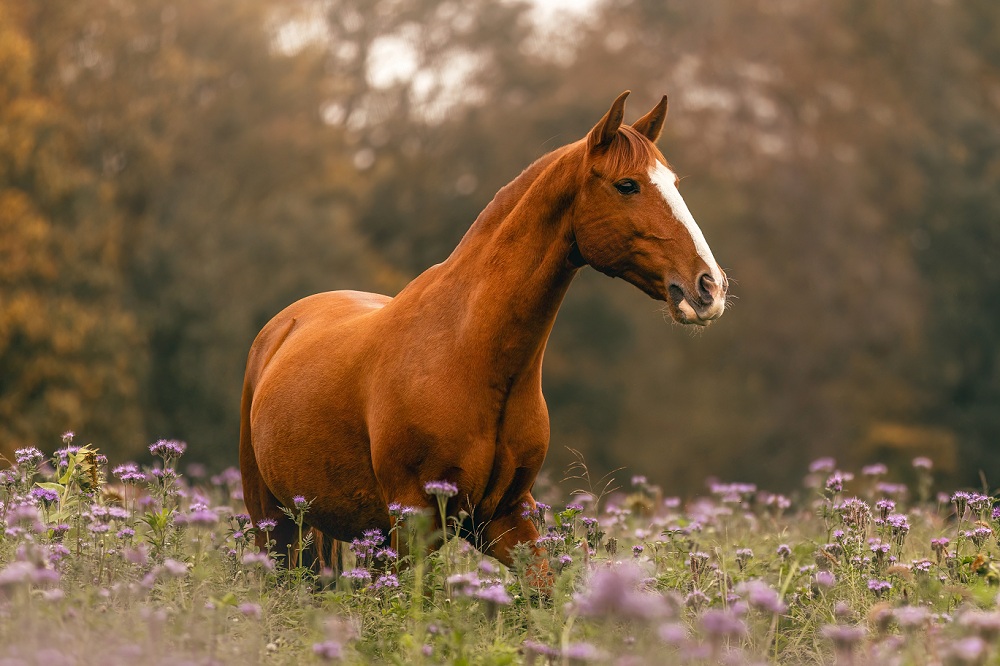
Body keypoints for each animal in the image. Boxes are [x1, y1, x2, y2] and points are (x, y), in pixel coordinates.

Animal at [239, 90, 728, 572]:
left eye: (674, 182)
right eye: (627, 184)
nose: (710, 286)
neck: (470, 354)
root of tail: (284, 326)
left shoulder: (504, 515)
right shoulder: (412, 523)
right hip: (276, 527)